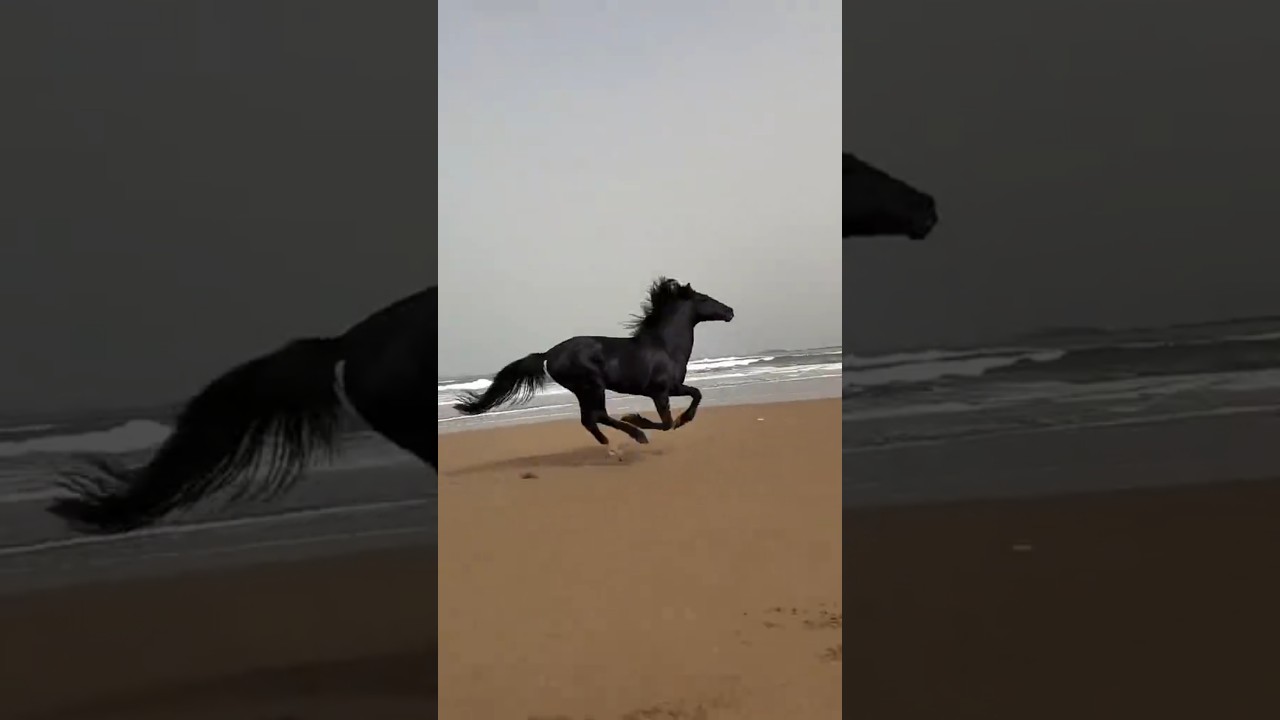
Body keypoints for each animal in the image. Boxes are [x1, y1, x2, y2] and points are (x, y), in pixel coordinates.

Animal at [453, 278, 733, 451]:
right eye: (705, 299)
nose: (730, 311)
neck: (665, 346)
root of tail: (549, 353)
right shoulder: (661, 391)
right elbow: (668, 421)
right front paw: (648, 420)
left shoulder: (673, 388)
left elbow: (696, 394)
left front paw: (683, 419)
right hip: (592, 385)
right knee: (597, 415)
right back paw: (636, 434)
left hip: (582, 390)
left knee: (588, 420)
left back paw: (609, 444)